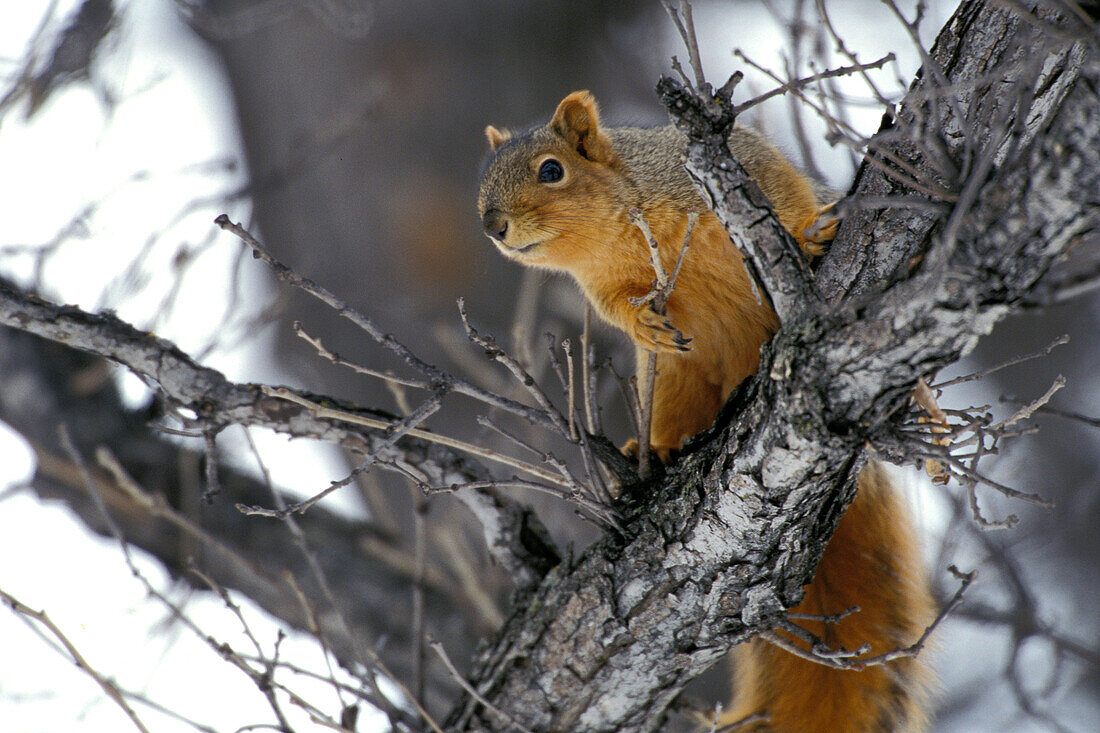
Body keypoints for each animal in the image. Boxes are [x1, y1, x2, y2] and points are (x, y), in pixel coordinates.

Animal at [477, 93, 932, 730]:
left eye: (551, 170)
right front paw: (641, 322)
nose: (493, 226)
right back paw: (653, 449)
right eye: (484, 180)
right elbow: (620, 311)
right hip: (674, 380)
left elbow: (782, 197)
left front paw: (809, 234)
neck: (613, 233)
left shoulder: (730, 168)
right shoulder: (605, 288)